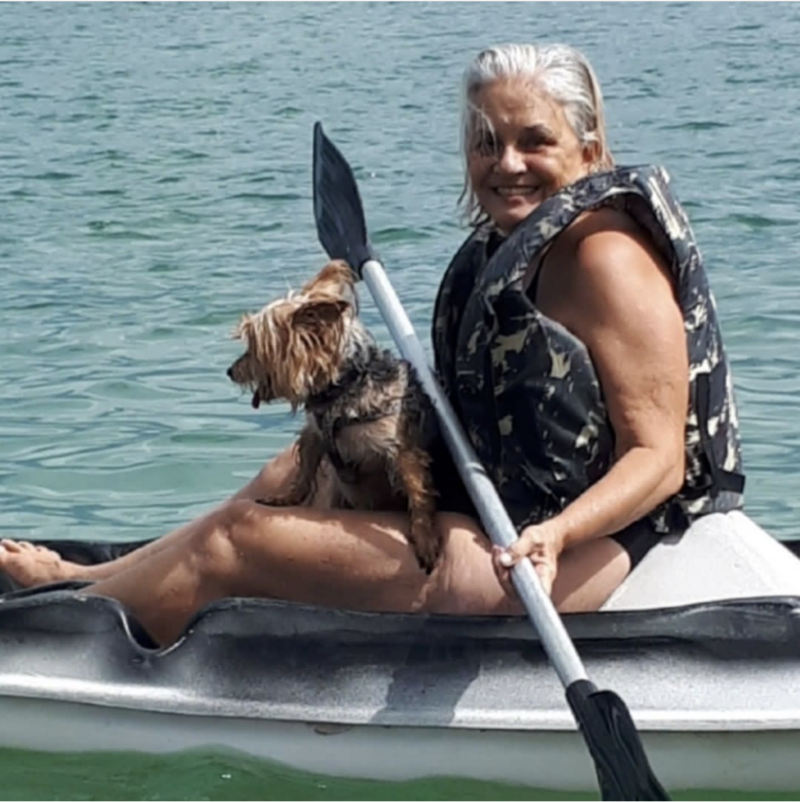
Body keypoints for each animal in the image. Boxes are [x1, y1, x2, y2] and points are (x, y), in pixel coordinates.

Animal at [227, 260, 444, 572]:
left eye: (255, 348)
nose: (230, 371)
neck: (340, 389)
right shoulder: (316, 433)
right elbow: (305, 469)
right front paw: (286, 498)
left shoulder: (401, 448)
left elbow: (419, 492)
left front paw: (425, 539)